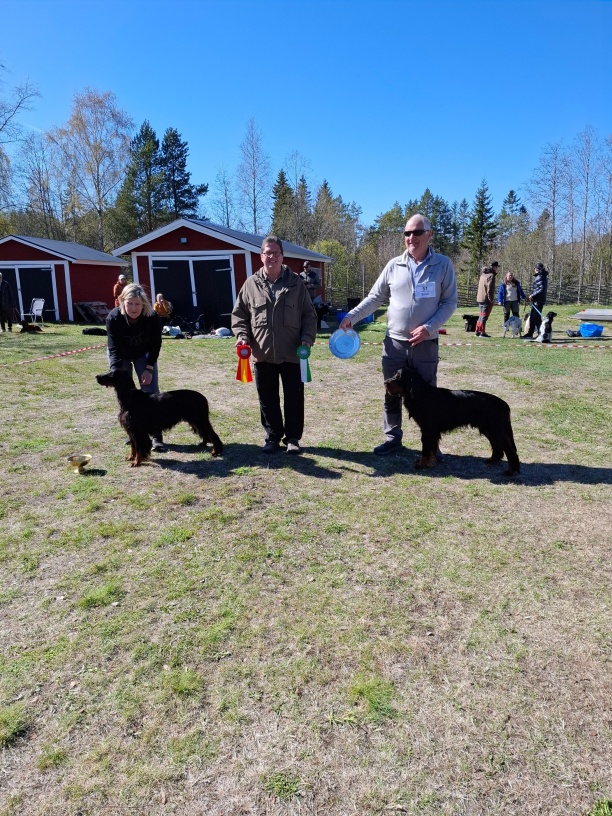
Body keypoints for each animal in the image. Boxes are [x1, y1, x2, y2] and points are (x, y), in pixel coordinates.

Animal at [384, 367, 520, 476]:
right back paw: (492, 460)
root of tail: (504, 405)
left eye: (398, 376)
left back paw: (511, 471)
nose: (385, 382)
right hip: (489, 429)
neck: (420, 393)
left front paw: (422, 464)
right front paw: (430, 462)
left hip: (496, 429)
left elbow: (426, 449)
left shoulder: (428, 429)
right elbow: (432, 449)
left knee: (510, 450)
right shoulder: (432, 431)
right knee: (497, 446)